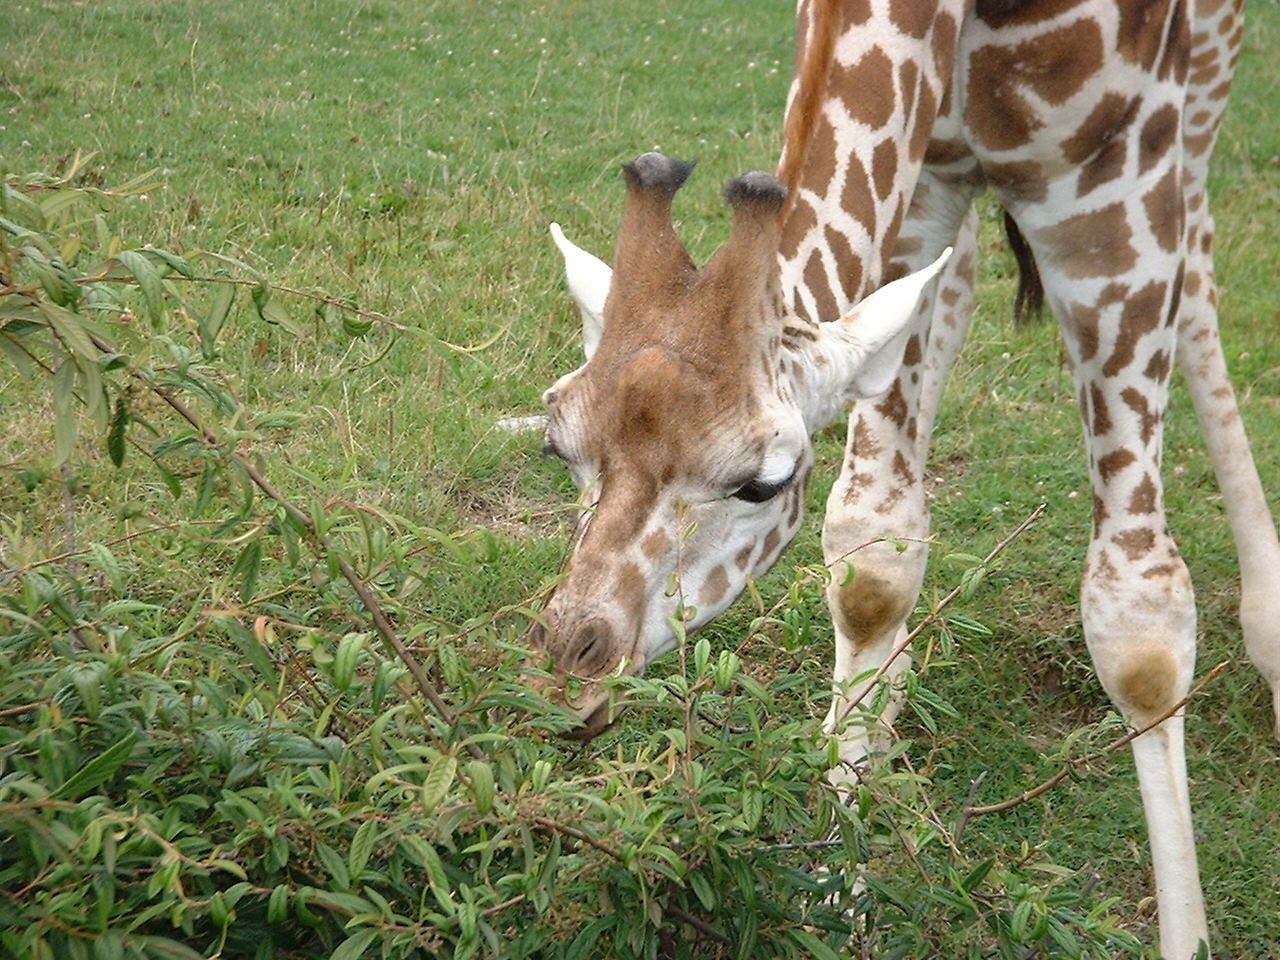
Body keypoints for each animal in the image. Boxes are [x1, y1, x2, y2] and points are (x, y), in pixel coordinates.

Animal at [527, 3, 1269, 957]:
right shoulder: (921, 194)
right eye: (560, 447)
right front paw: (838, 885)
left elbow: (1139, 628)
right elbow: (874, 557)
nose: (568, 680)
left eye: (760, 483)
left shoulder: (1111, 187)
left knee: (1203, 265)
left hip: (1201, 92)